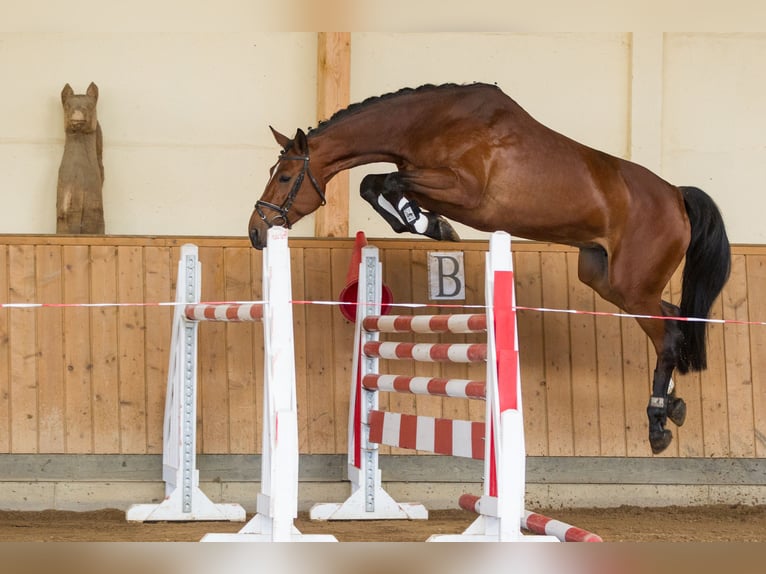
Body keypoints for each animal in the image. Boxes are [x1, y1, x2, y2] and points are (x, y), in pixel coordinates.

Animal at [250, 83, 732, 456]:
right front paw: (424, 222)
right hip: (607, 279)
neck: (430, 124)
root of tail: (675, 195)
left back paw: (657, 423)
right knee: (672, 320)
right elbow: (376, 183)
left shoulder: (461, 189)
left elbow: (384, 180)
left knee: (666, 336)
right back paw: (674, 406)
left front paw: (429, 224)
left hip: (632, 285)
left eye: (284, 176)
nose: (257, 230)